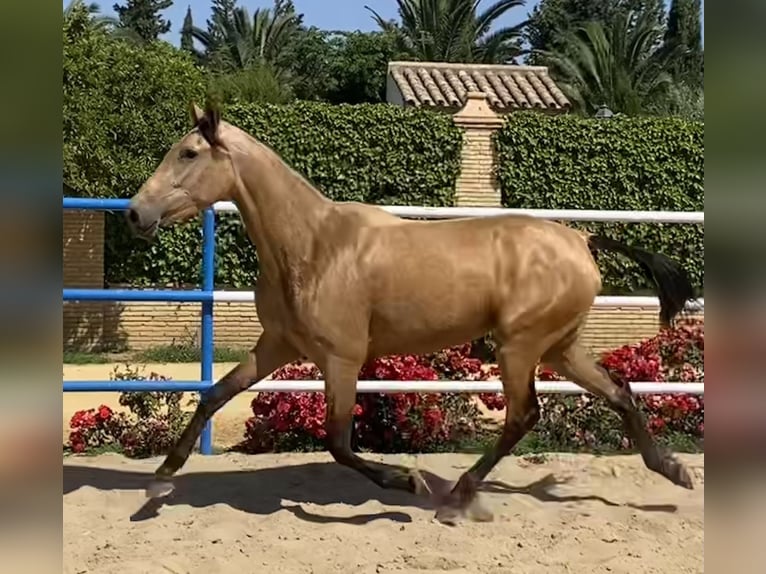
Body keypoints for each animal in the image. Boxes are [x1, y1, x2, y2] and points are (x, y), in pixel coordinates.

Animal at [129, 100, 700, 528]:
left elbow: (337, 441)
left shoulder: (341, 358)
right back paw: (673, 470)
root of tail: (582, 240)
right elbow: (213, 396)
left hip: (518, 347)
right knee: (619, 390)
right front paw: (159, 481)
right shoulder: (278, 345)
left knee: (524, 415)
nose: (137, 213)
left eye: (188, 152)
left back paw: (457, 498)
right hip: (560, 347)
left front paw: (409, 480)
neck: (313, 245)